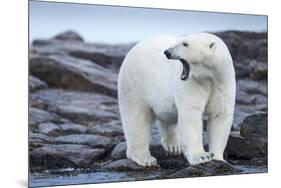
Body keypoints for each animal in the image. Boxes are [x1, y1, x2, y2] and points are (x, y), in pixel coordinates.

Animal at [117, 32, 235, 166]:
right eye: (179, 41)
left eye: (185, 44)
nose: (167, 52)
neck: (209, 77)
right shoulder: (192, 83)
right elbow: (191, 115)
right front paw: (202, 156)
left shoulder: (223, 83)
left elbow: (219, 116)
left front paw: (218, 158)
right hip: (134, 84)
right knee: (136, 119)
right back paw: (145, 158)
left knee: (167, 118)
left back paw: (173, 146)